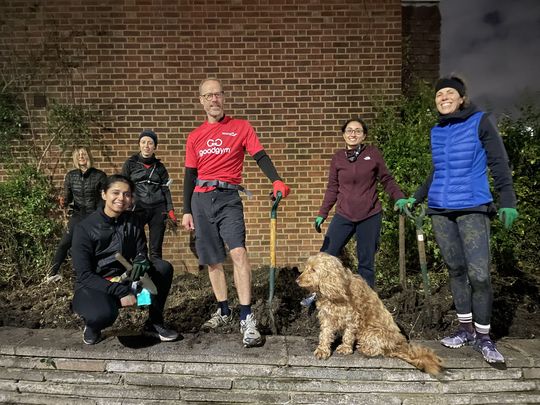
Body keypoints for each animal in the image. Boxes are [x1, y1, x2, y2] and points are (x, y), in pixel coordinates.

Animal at [296, 251, 442, 374]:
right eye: (307, 267)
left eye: (313, 270)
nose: (297, 280)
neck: (335, 291)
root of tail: (398, 345)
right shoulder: (327, 316)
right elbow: (325, 335)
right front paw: (322, 350)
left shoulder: (352, 317)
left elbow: (348, 335)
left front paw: (345, 348)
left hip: (370, 332)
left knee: (380, 350)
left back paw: (364, 348)